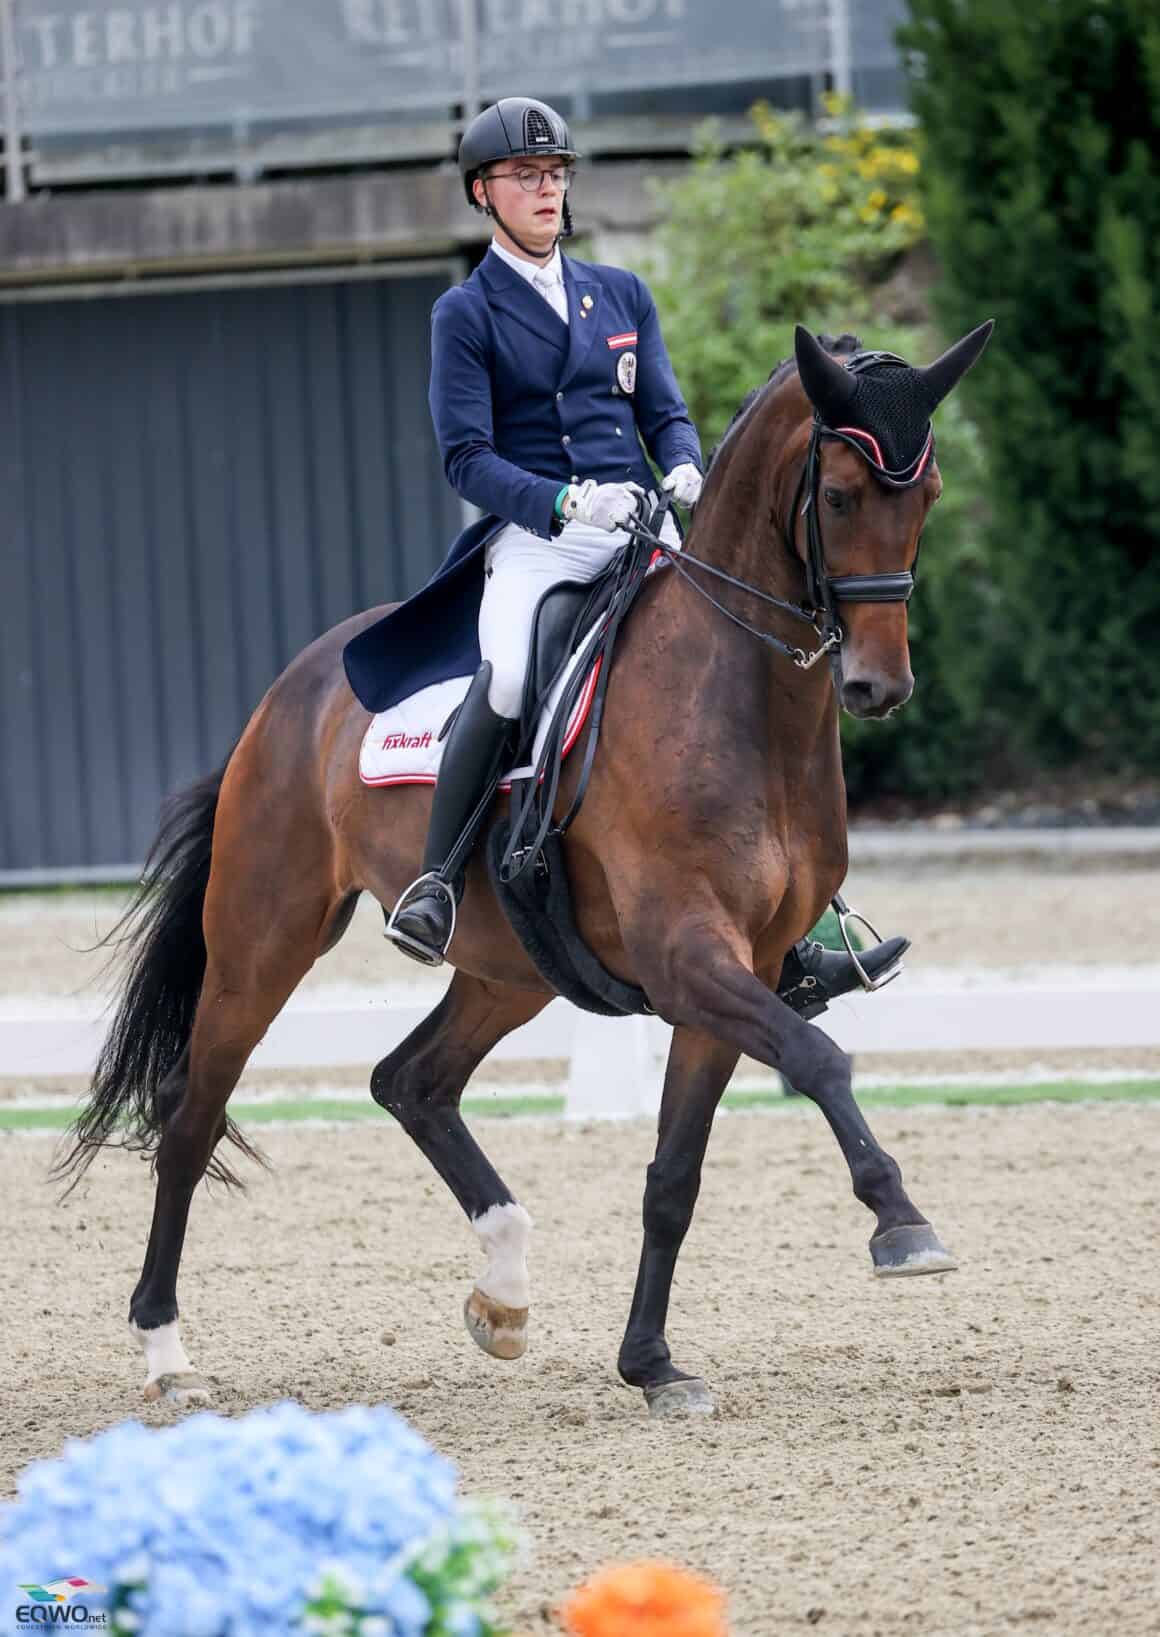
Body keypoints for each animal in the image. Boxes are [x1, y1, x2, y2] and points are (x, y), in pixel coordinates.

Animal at [58, 319, 988, 1420]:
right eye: (839, 495)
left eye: (926, 498)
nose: (878, 686)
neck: (742, 703)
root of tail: (289, 689)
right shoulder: (688, 955)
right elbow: (819, 1060)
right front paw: (901, 1222)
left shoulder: (742, 970)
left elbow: (673, 1175)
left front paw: (652, 1363)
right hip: (264, 939)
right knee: (192, 1112)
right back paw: (166, 1347)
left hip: (512, 967)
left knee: (410, 1080)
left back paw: (501, 1289)